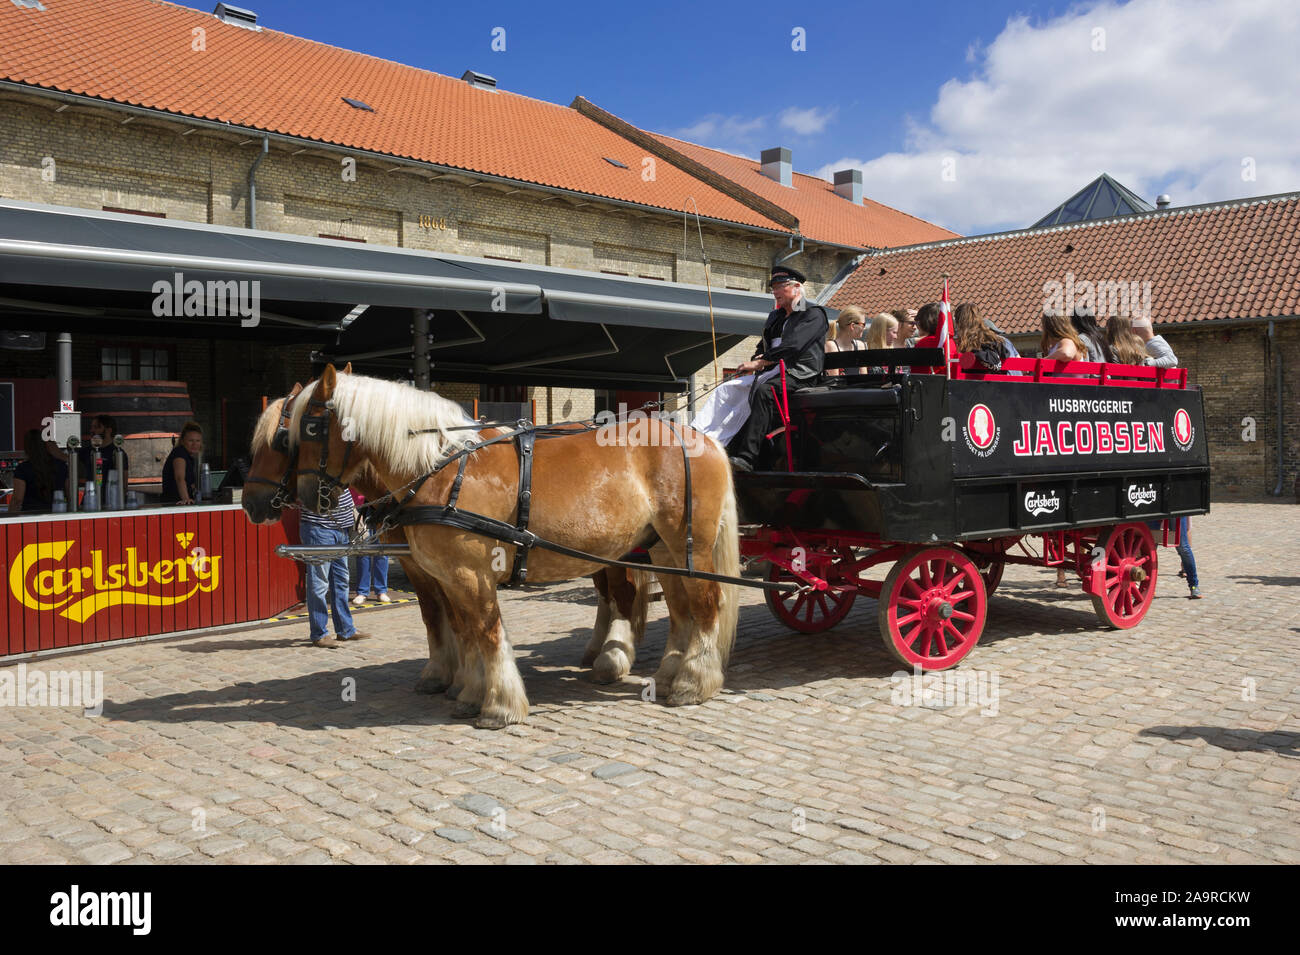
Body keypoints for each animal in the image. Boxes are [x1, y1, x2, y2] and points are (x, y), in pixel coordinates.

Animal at [245, 387, 660, 701]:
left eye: (283, 440)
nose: (251, 504)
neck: (428, 469)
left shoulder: (444, 564)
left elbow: (453, 619)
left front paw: (460, 679)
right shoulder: (422, 564)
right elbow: (440, 617)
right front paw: (451, 676)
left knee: (621, 593)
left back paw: (611, 659)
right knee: (606, 594)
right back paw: (597, 650)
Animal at [293, 369, 743, 727]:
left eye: (310, 428)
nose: (303, 497)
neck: (440, 467)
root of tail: (700, 438)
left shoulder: (470, 573)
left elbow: (486, 632)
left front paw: (499, 706)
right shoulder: (448, 576)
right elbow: (466, 631)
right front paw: (470, 693)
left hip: (689, 545)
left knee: (705, 604)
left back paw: (693, 682)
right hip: (664, 551)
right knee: (680, 609)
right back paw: (669, 675)